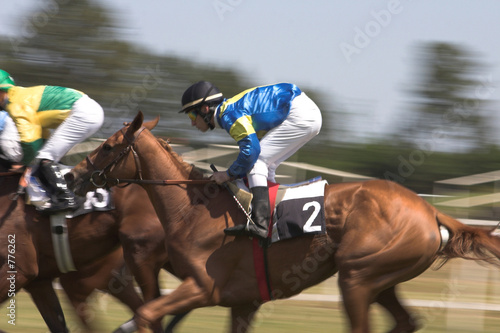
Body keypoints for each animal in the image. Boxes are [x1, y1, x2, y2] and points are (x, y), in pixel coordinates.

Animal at [67, 112, 500, 332]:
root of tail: (429, 210)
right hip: (381, 279)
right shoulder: (242, 302)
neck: (192, 210)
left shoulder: (202, 287)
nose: (72, 175)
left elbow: (146, 314)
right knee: (407, 321)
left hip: (357, 278)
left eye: (108, 146)